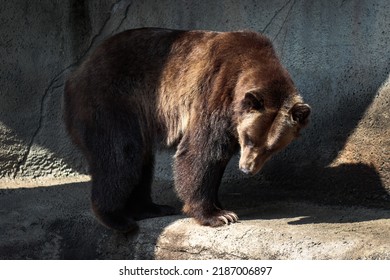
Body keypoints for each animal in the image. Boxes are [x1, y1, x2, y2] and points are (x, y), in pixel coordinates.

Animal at [64, 27, 310, 232]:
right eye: (249, 139)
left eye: (271, 148)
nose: (246, 169)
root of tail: (79, 70)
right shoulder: (216, 90)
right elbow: (201, 152)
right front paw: (217, 215)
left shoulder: (231, 121)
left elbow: (218, 158)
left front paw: (219, 205)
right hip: (112, 101)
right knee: (120, 155)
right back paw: (117, 218)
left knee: (141, 162)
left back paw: (150, 208)